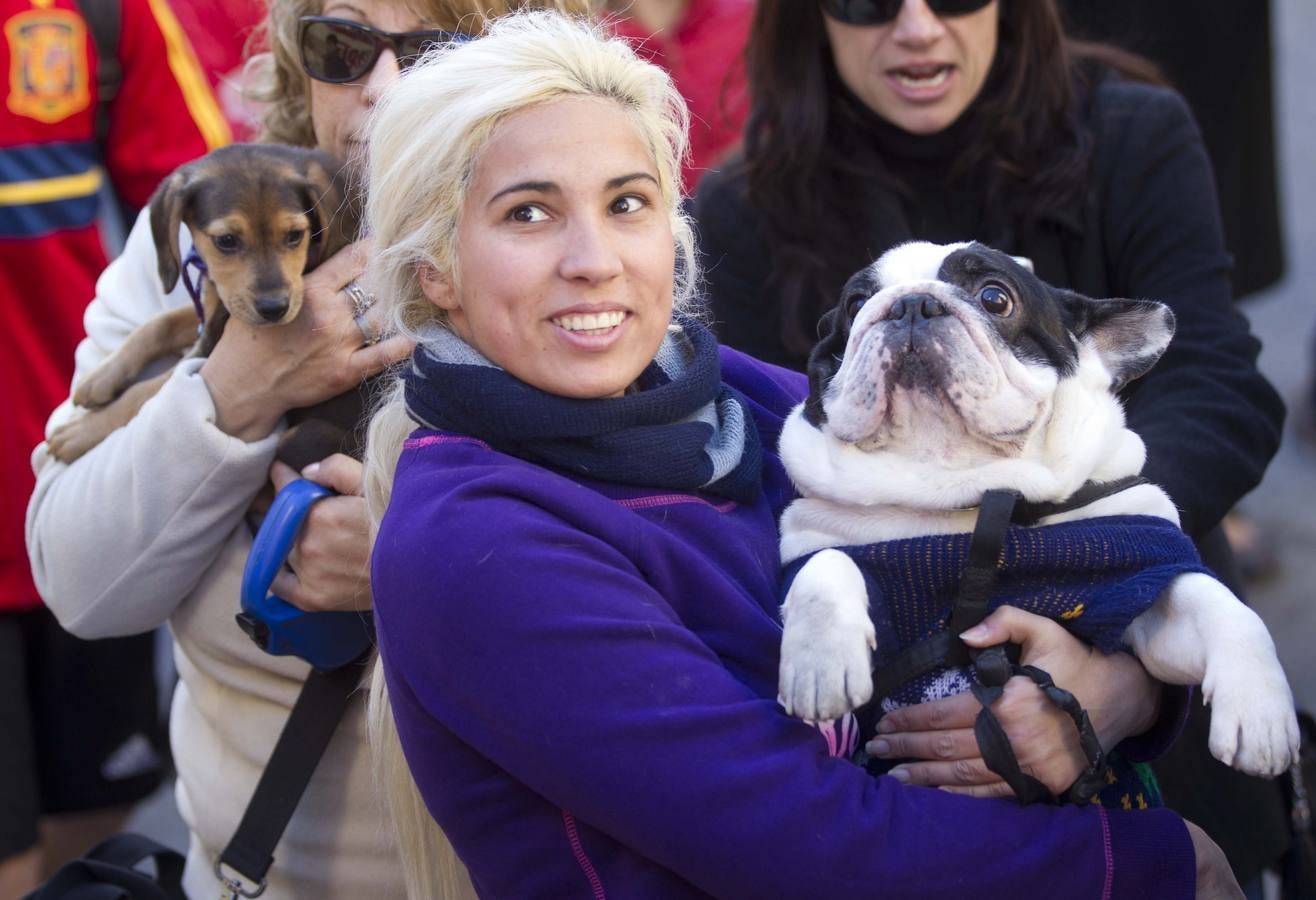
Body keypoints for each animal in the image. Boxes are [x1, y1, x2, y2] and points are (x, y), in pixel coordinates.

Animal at [48, 144, 365, 468]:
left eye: (294, 235)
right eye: (226, 240)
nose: (274, 308)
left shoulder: (211, 341)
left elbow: (144, 392)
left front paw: (81, 431)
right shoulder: (218, 308)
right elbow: (159, 325)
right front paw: (101, 377)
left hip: (301, 438)